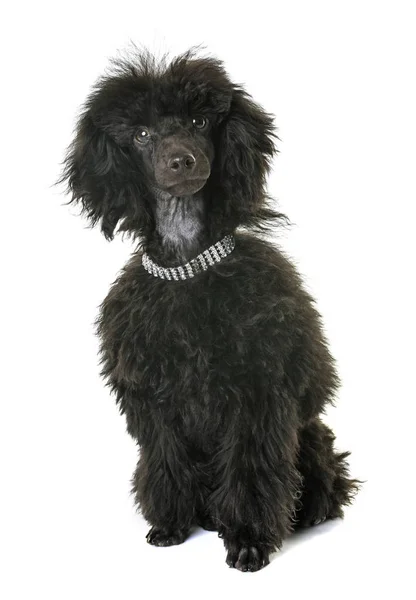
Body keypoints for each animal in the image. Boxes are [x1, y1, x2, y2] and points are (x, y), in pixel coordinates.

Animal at [60, 50, 360, 572]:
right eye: (141, 134)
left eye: (200, 122)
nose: (183, 159)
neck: (187, 267)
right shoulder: (155, 404)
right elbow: (165, 462)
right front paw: (171, 526)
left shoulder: (255, 400)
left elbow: (250, 471)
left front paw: (248, 540)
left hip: (312, 442)